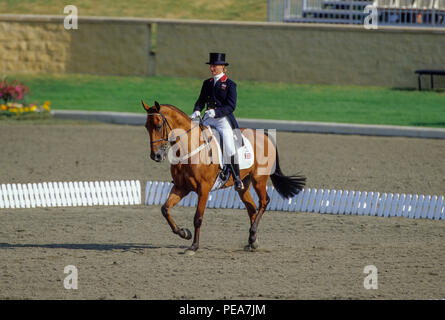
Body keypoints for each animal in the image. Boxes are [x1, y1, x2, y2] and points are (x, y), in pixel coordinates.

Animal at [142, 100, 306, 255]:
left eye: (158, 126)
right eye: (146, 127)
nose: (156, 156)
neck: (189, 148)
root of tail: (264, 136)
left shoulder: (203, 189)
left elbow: (198, 218)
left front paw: (193, 246)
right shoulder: (181, 187)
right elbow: (165, 209)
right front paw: (184, 233)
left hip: (259, 179)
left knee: (264, 202)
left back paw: (253, 235)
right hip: (243, 185)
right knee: (252, 208)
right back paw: (252, 241)